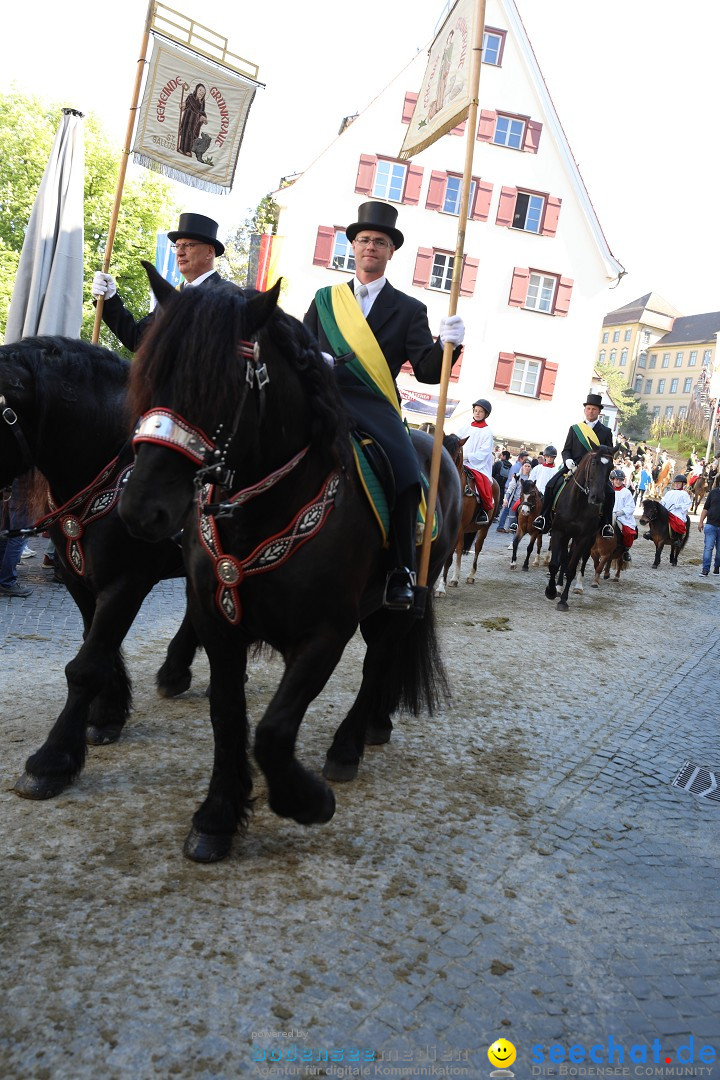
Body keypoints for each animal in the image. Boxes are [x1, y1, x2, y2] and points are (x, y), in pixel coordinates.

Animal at [0, 336, 199, 803]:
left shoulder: (127, 581)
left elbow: (86, 666)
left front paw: (51, 761)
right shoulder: (80, 579)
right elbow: (97, 645)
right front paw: (107, 715)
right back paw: (175, 670)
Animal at [115, 267, 459, 859]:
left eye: (220, 385)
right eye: (150, 373)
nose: (141, 508)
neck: (264, 506)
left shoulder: (325, 633)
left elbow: (272, 732)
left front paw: (307, 800)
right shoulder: (217, 622)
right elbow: (228, 715)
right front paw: (218, 816)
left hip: (398, 600)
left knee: (379, 662)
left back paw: (349, 745)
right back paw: (376, 725)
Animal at [440, 436, 500, 596]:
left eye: (456, 455)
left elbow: (447, 558)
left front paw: (440, 587)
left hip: (484, 528)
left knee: (477, 548)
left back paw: (471, 575)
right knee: (460, 549)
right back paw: (455, 578)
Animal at [546, 449, 613, 613]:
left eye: (611, 468)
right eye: (594, 463)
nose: (597, 497)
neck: (579, 502)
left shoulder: (583, 537)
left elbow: (572, 568)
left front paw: (563, 601)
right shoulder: (558, 532)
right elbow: (555, 564)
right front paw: (551, 591)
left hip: (588, 539)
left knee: (583, 558)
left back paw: (578, 585)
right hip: (567, 536)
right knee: (564, 558)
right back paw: (558, 586)